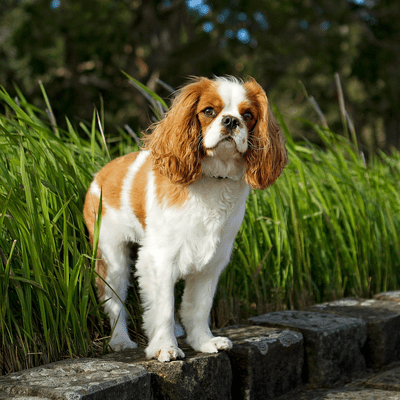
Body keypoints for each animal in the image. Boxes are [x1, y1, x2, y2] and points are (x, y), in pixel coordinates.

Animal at [83, 75, 288, 362]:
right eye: (209, 111)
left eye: (248, 115)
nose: (231, 121)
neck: (215, 179)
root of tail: (100, 174)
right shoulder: (159, 258)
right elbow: (163, 308)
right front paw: (165, 347)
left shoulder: (212, 261)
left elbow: (198, 306)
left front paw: (204, 342)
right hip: (111, 257)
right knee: (114, 302)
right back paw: (120, 341)